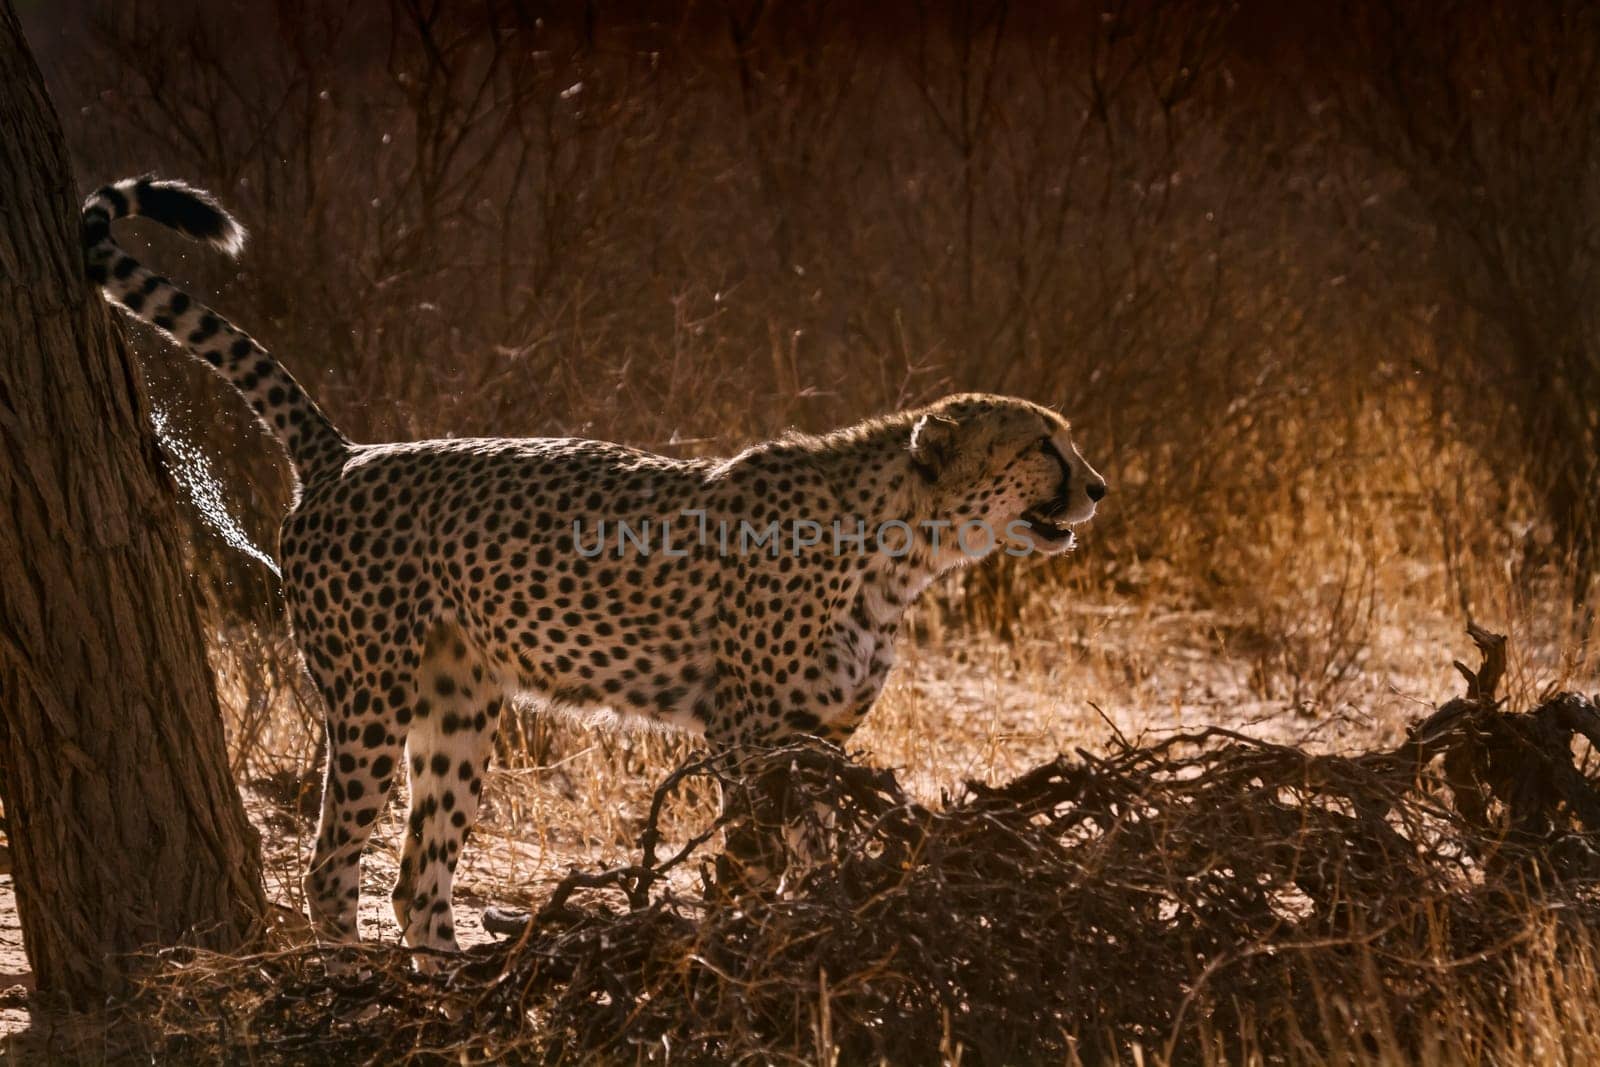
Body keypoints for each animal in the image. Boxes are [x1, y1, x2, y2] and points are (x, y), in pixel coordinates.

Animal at [81, 175, 1107, 953]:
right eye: (1043, 444)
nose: (1097, 488)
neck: (905, 546)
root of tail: (348, 453)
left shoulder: (820, 737)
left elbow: (810, 848)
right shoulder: (748, 731)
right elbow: (753, 857)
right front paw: (745, 939)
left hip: (460, 705)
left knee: (418, 875)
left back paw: (453, 983)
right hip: (369, 695)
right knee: (334, 866)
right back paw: (363, 983)